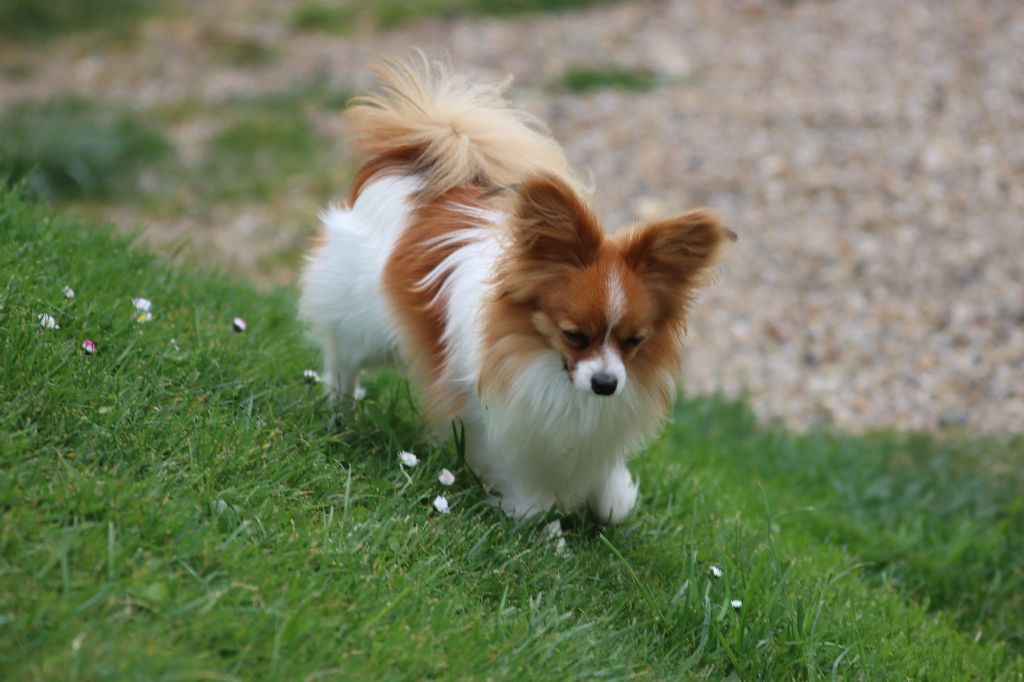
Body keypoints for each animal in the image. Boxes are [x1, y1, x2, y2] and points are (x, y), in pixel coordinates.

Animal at [299, 54, 733, 520]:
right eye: (574, 335)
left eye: (634, 341)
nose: (606, 384)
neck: (545, 363)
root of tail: (423, 161)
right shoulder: (495, 423)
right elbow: (525, 487)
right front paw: (538, 522)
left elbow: (609, 497)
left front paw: (611, 499)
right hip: (361, 325)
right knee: (342, 363)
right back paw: (340, 414)